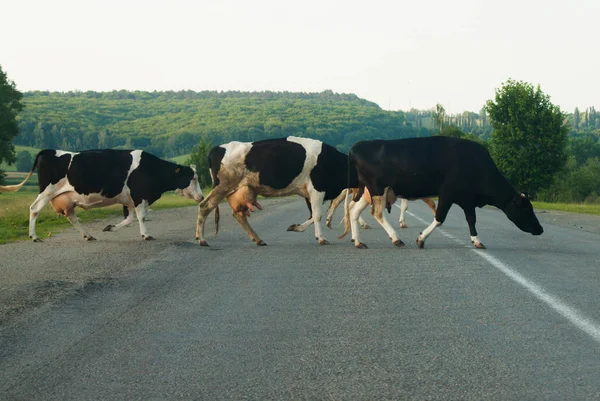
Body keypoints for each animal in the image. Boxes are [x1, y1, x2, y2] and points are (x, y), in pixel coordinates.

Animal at [0, 148, 204, 239]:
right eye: (193, 178)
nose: (202, 197)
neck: (151, 169)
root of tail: (49, 150)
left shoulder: (129, 200)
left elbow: (129, 219)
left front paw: (110, 227)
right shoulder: (139, 197)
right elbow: (141, 217)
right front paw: (146, 234)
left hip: (66, 199)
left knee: (71, 216)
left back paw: (88, 235)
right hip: (47, 191)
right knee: (34, 209)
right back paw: (33, 236)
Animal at [196, 136, 356, 245]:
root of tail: (218, 148)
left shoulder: (310, 193)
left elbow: (312, 215)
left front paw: (296, 227)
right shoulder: (317, 188)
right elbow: (317, 215)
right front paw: (321, 238)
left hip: (239, 189)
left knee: (238, 214)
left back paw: (258, 239)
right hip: (222, 186)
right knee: (205, 206)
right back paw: (201, 239)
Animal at [342, 136, 544, 248]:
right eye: (526, 209)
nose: (540, 229)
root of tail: (356, 147)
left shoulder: (467, 199)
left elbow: (471, 219)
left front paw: (476, 240)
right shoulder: (448, 193)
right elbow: (439, 217)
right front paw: (421, 239)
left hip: (368, 192)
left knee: (354, 210)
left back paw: (358, 241)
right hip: (377, 189)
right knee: (376, 213)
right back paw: (396, 239)